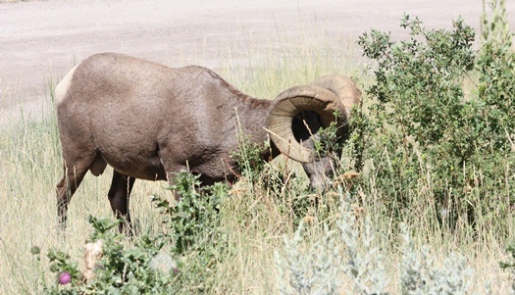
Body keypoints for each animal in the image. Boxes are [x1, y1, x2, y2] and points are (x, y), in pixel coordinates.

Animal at [54, 53, 360, 234]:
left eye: (340, 144)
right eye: (318, 141)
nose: (329, 182)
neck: (220, 117)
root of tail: (65, 83)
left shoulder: (210, 183)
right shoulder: (177, 170)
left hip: (124, 170)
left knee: (117, 199)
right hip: (77, 159)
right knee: (62, 194)